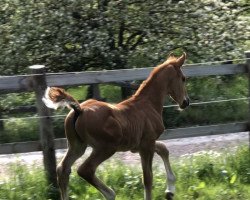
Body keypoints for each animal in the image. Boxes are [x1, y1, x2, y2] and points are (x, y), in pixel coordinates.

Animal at [43, 52, 189, 199]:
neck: (148, 104)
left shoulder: (140, 145)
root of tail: (80, 110)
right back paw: (110, 194)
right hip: (106, 148)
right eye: (183, 78)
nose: (186, 102)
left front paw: (170, 191)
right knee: (85, 169)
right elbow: (148, 178)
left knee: (63, 169)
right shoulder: (147, 145)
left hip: (77, 146)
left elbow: (164, 149)